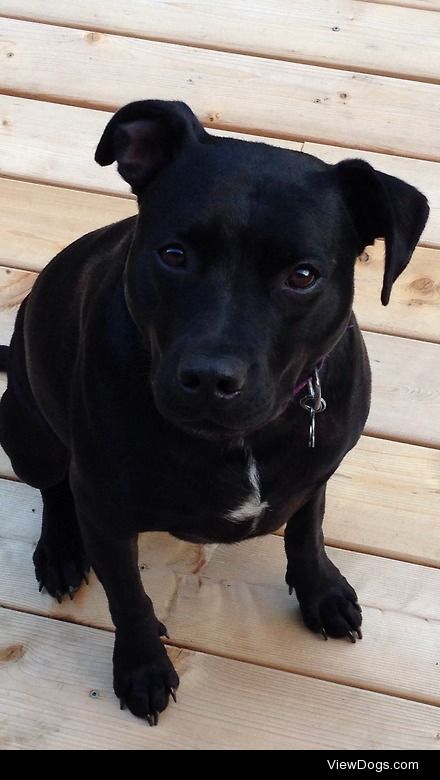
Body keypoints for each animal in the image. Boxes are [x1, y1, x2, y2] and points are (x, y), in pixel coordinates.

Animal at [0, 100, 428, 724]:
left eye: (303, 275)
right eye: (174, 255)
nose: (210, 378)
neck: (244, 439)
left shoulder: (318, 469)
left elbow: (308, 530)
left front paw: (321, 592)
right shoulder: (104, 511)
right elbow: (128, 596)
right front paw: (142, 666)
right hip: (27, 428)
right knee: (54, 487)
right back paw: (59, 550)